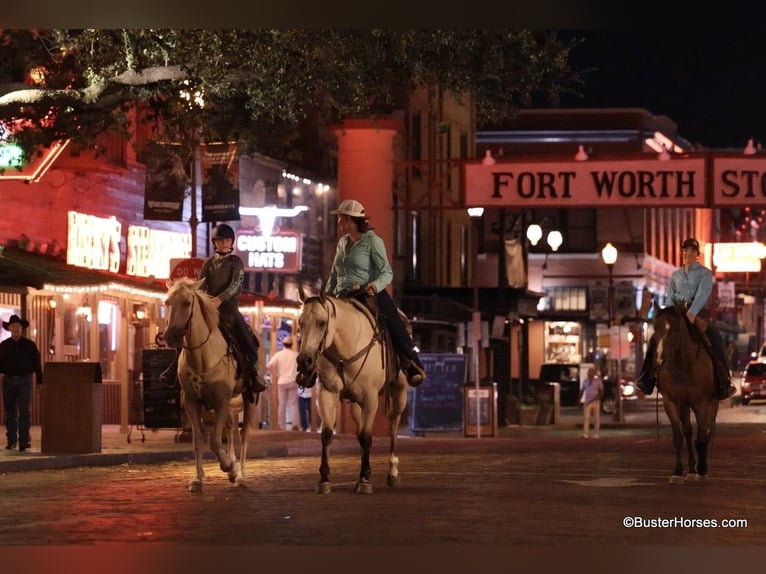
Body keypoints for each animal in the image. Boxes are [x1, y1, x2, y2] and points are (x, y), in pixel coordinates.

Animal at [162, 276, 258, 492]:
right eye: (167, 302)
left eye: (186, 303)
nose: (170, 336)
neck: (202, 355)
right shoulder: (191, 402)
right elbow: (199, 440)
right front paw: (198, 478)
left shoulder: (220, 401)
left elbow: (214, 441)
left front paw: (228, 466)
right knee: (231, 427)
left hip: (250, 396)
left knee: (245, 433)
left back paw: (241, 474)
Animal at [296, 288, 412, 496]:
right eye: (300, 323)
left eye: (322, 322)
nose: (304, 361)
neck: (345, 350)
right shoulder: (327, 393)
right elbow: (327, 434)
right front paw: (324, 479)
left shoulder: (371, 398)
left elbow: (367, 436)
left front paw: (365, 479)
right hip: (355, 404)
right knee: (359, 431)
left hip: (399, 393)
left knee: (393, 424)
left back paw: (392, 472)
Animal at [656, 304, 720, 484]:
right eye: (655, 329)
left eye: (674, 330)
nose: (660, 361)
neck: (683, 364)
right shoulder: (670, 401)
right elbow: (678, 437)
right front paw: (677, 472)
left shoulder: (701, 402)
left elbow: (701, 438)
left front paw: (702, 468)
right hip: (684, 405)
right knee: (688, 431)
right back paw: (691, 470)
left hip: (712, 403)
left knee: (708, 429)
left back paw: (700, 468)